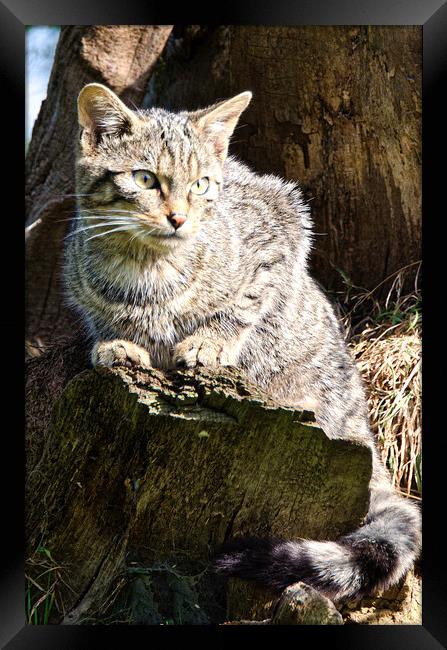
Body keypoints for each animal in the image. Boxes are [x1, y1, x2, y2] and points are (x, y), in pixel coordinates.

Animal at [63, 82, 420, 604]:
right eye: (145, 179)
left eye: (201, 185)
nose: (178, 218)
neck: (147, 268)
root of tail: (364, 433)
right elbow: (102, 316)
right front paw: (118, 342)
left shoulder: (282, 222)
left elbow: (245, 301)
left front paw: (209, 342)